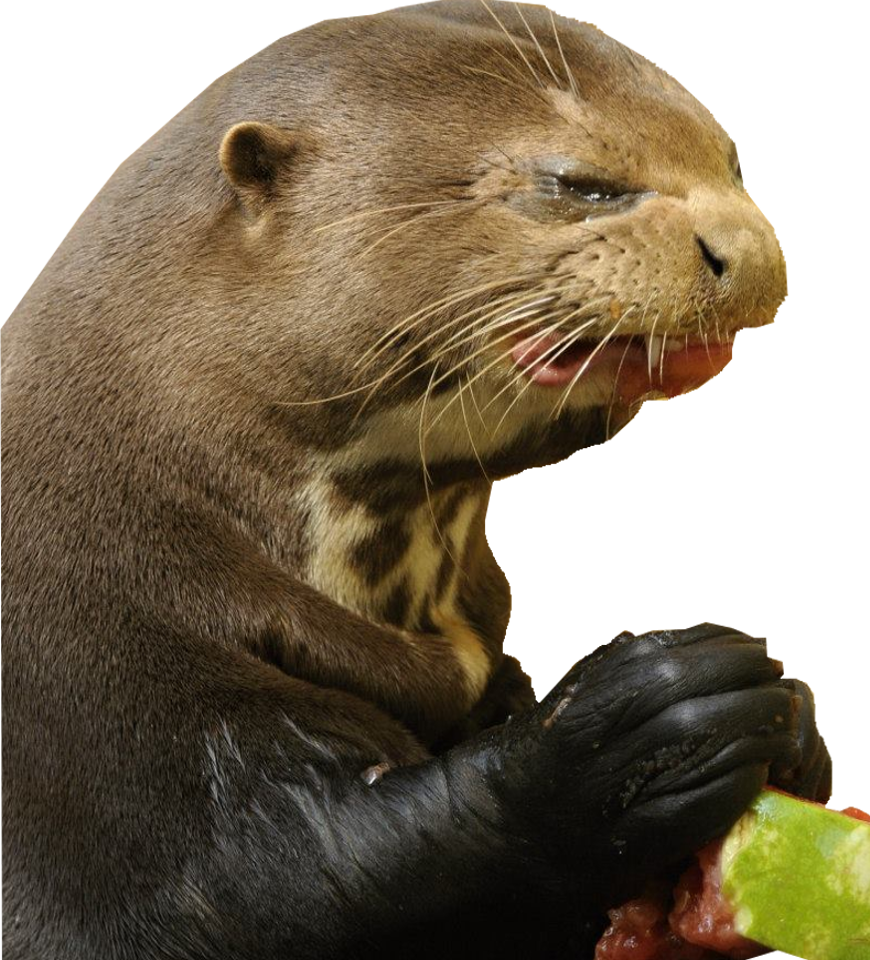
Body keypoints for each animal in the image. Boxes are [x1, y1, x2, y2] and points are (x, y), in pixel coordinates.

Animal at [1, 3, 830, 958]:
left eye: (731, 161)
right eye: (580, 183)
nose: (752, 252)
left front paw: (796, 727)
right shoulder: (122, 733)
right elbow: (295, 881)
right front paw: (630, 739)